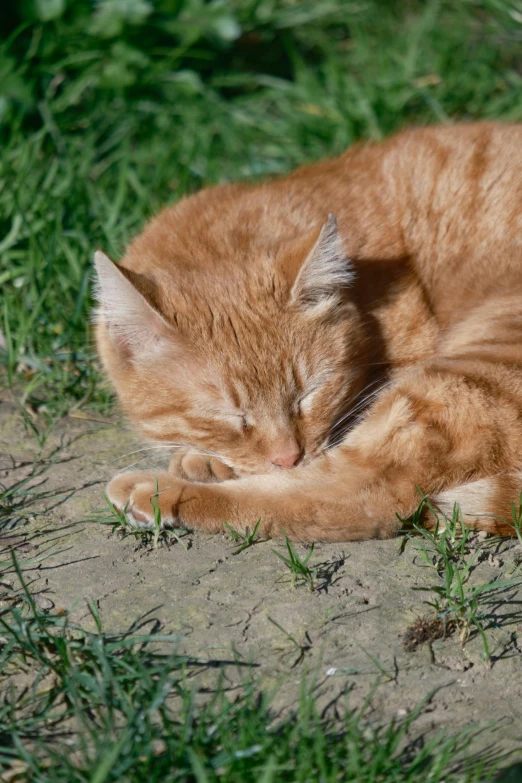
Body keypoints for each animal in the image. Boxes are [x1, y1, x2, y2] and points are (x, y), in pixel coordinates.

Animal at [95, 122, 520, 544]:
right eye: (229, 416)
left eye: (307, 395)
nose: (288, 458)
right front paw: (205, 458)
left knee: (361, 496)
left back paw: (156, 492)